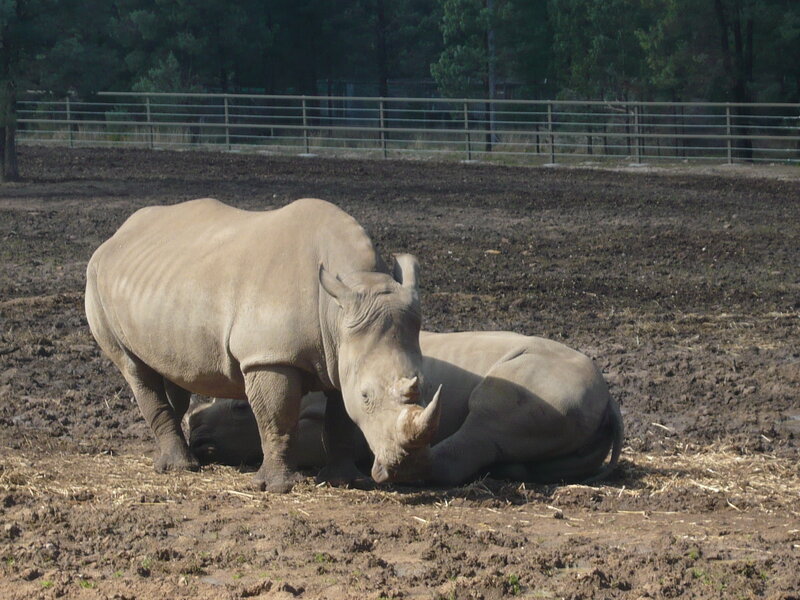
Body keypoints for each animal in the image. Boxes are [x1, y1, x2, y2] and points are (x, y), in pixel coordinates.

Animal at [85, 198, 440, 492]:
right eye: (367, 397)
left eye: (424, 386)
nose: (408, 469)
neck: (339, 308)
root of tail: (115, 237)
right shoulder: (270, 356)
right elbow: (277, 418)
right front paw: (277, 487)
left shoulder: (340, 355)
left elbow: (339, 420)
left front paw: (346, 481)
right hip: (95, 278)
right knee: (134, 368)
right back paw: (181, 467)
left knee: (171, 369)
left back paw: (172, 458)